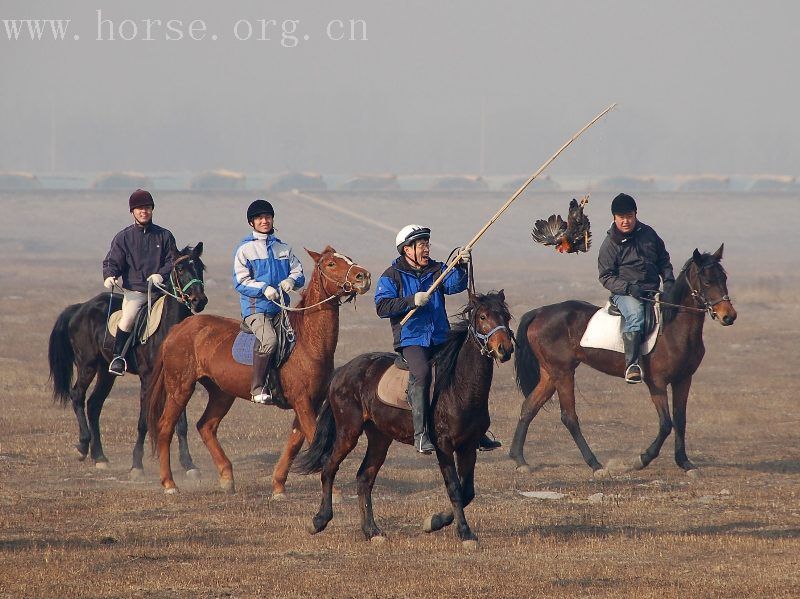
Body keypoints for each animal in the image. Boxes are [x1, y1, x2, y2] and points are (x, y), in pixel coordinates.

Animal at [48, 244, 208, 478]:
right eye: (179, 269)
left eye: (200, 267)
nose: (199, 300)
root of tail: (80, 307)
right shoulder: (147, 379)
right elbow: (143, 422)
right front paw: (136, 465)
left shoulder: (178, 379)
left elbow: (181, 424)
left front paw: (189, 464)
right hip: (87, 365)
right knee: (77, 395)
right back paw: (83, 446)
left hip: (106, 371)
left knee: (94, 404)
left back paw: (100, 457)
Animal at [148, 247, 372, 496]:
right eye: (331, 264)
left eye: (349, 260)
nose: (363, 276)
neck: (307, 341)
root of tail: (178, 329)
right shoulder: (302, 402)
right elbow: (314, 440)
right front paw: (335, 492)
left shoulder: (310, 403)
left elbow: (295, 442)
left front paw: (278, 486)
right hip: (180, 389)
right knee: (165, 428)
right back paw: (169, 484)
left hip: (221, 393)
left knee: (206, 426)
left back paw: (227, 477)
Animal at [294, 292, 512, 552]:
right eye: (483, 317)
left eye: (506, 315)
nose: (505, 348)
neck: (458, 386)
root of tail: (343, 371)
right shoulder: (444, 446)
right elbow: (455, 489)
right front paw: (464, 533)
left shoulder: (468, 446)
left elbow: (467, 491)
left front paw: (434, 521)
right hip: (349, 431)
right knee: (329, 466)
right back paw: (319, 520)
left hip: (380, 437)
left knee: (364, 478)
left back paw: (372, 531)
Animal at [512, 245, 736, 478]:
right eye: (707, 281)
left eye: (724, 278)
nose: (729, 316)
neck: (673, 326)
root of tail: (539, 312)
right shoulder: (657, 383)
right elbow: (666, 423)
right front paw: (641, 460)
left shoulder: (683, 380)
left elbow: (680, 420)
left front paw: (685, 463)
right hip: (563, 373)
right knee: (569, 417)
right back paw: (596, 465)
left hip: (550, 374)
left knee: (529, 407)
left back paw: (520, 460)